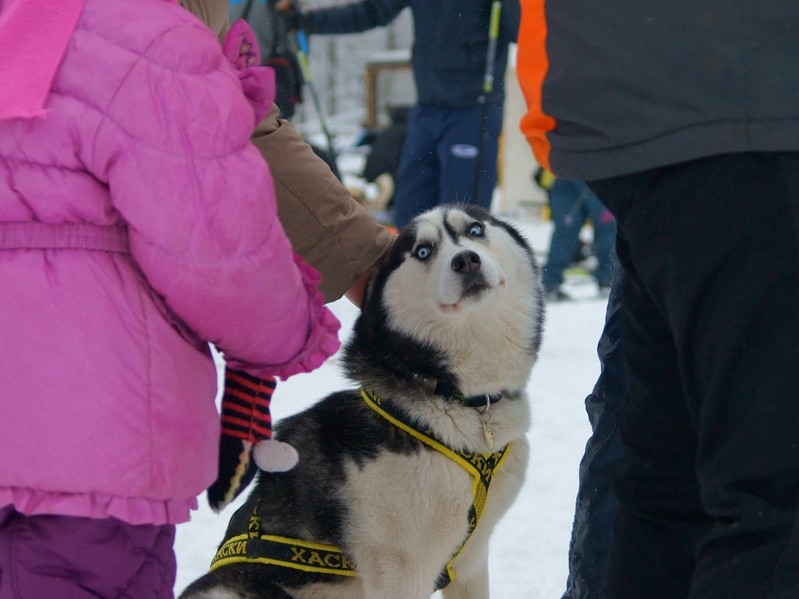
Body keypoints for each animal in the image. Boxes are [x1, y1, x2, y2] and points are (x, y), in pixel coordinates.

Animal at [181, 204, 544, 596]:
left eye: (475, 229)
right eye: (422, 251)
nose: (465, 260)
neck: (461, 401)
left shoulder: (471, 561)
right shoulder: (402, 568)